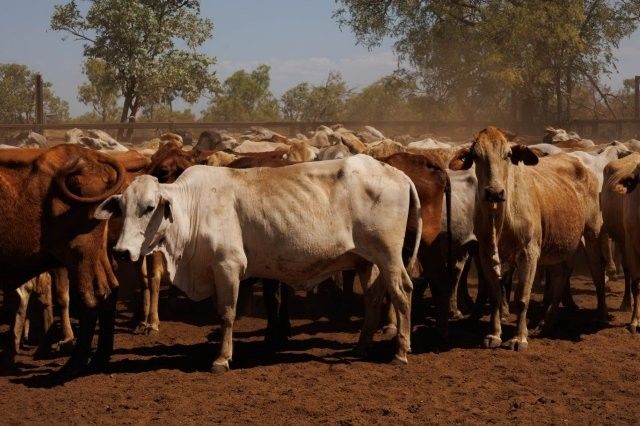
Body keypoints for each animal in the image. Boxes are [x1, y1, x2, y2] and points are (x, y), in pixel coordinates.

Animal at [95, 155, 422, 370]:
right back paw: (363, 346)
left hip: (389, 256)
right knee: (374, 296)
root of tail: (397, 174)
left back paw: (400, 351)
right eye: (121, 207)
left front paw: (221, 358)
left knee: (403, 292)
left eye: (150, 207)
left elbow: (227, 314)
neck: (194, 206)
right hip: (367, 260)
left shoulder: (228, 267)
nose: (121, 251)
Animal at [449, 127, 607, 351]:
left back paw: (601, 315)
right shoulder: (486, 254)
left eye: (507, 155)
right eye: (476, 156)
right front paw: (494, 334)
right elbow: (496, 296)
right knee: (561, 274)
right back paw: (545, 323)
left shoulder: (529, 253)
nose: (494, 192)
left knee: (597, 270)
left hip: (592, 232)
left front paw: (518, 338)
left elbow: (522, 298)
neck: (501, 220)